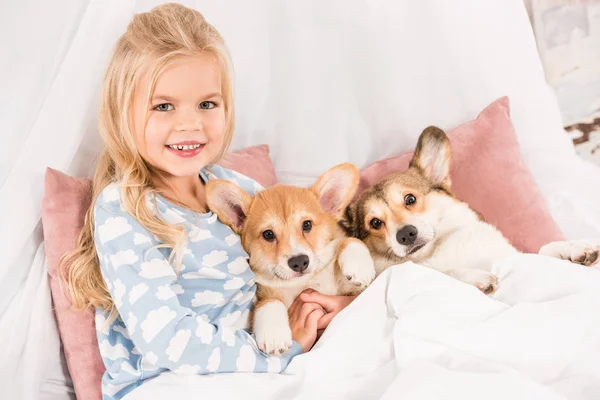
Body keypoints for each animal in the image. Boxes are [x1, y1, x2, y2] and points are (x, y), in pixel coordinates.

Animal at [207, 164, 376, 354]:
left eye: (307, 225)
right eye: (268, 234)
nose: (299, 262)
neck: (303, 282)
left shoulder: (352, 291)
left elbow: (348, 240)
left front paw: (360, 268)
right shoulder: (263, 294)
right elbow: (269, 303)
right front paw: (274, 335)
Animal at [342, 126, 600, 292]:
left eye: (410, 199)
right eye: (375, 223)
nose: (406, 234)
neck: (438, 247)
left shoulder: (513, 254)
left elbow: (543, 250)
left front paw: (572, 249)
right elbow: (445, 273)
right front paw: (476, 277)